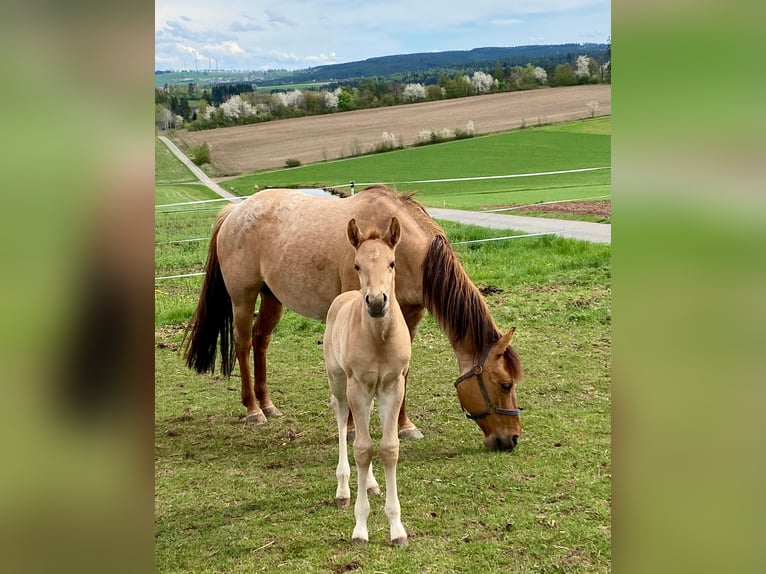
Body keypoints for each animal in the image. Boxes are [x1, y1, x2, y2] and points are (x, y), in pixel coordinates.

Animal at [184, 185, 523, 451]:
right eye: (505, 384)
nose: (512, 439)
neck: (402, 254)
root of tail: (235, 211)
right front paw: (349, 428)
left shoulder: (409, 317)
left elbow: (403, 373)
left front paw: (404, 426)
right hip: (243, 297)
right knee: (242, 344)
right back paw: (254, 411)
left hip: (272, 298)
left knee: (261, 340)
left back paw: (268, 404)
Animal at [324, 217, 410, 546]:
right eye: (357, 265)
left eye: (392, 263)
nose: (375, 301)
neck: (379, 339)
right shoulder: (357, 387)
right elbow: (361, 448)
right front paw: (360, 527)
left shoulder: (393, 386)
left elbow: (388, 448)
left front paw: (397, 528)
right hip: (339, 382)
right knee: (341, 421)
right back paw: (343, 489)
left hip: (372, 393)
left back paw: (371, 482)